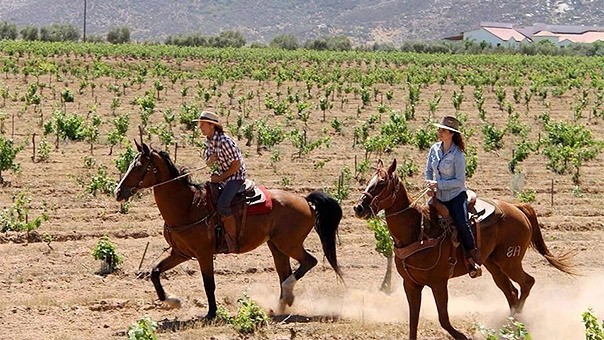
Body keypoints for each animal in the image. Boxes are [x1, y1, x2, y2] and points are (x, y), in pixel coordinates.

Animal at [113, 142, 340, 320]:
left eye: (138, 166)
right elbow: (155, 272)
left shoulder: (204, 253)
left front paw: (211, 313)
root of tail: (305, 200)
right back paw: (283, 302)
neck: (187, 206)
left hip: (289, 243)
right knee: (284, 272)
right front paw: (173, 301)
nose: (118, 192)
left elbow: (208, 283)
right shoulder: (180, 253)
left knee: (309, 261)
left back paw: (287, 296)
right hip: (276, 245)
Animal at [354, 160, 576, 340]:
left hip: (510, 261)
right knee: (511, 291)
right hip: (493, 265)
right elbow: (413, 321)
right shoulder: (411, 284)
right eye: (370, 180)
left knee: (527, 283)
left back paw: (514, 323)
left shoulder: (438, 283)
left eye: (381, 183)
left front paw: (463, 336)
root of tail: (518, 208)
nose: (358, 208)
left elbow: (443, 319)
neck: (419, 231)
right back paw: (509, 325)